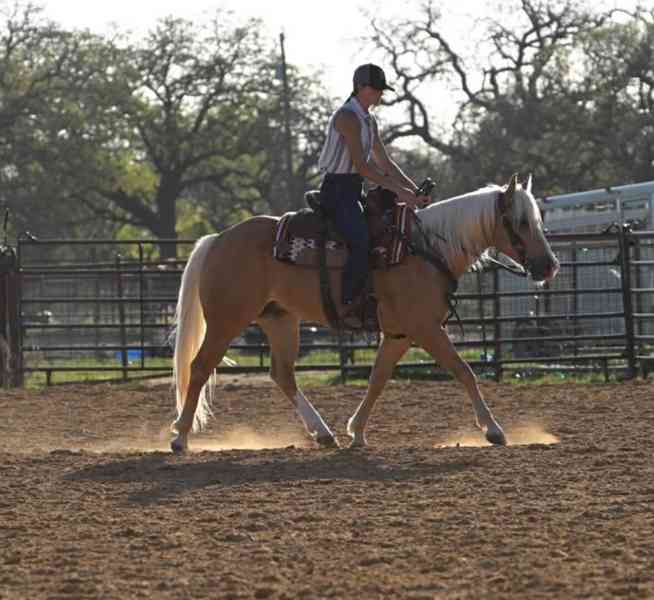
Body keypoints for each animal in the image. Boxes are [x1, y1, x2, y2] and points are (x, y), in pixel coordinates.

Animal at [169, 174, 559, 452]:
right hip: (226, 320)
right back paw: (180, 437)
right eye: (521, 222)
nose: (549, 266)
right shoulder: (426, 328)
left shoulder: (400, 333)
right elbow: (464, 371)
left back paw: (323, 434)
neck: (426, 248)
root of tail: (217, 240)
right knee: (200, 367)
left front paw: (356, 432)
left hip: (280, 320)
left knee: (282, 374)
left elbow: (377, 379)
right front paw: (494, 430)